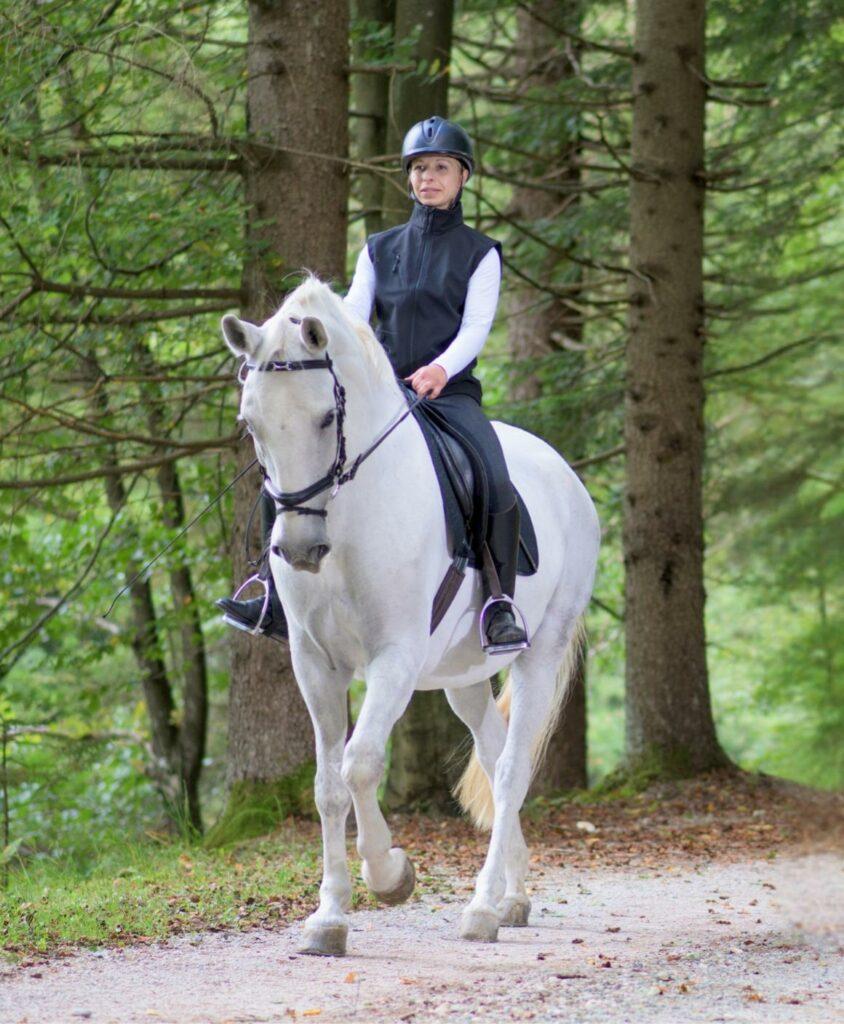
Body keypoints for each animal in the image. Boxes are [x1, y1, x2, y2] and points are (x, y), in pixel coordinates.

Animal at [221, 278, 598, 950]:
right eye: (251, 421)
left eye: (326, 417)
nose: (299, 549)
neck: (348, 516)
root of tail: (566, 476)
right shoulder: (314, 664)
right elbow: (327, 786)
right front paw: (329, 918)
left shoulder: (392, 658)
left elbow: (360, 765)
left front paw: (391, 874)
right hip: (463, 677)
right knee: (494, 755)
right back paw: (513, 897)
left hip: (541, 653)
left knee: (511, 769)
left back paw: (482, 908)